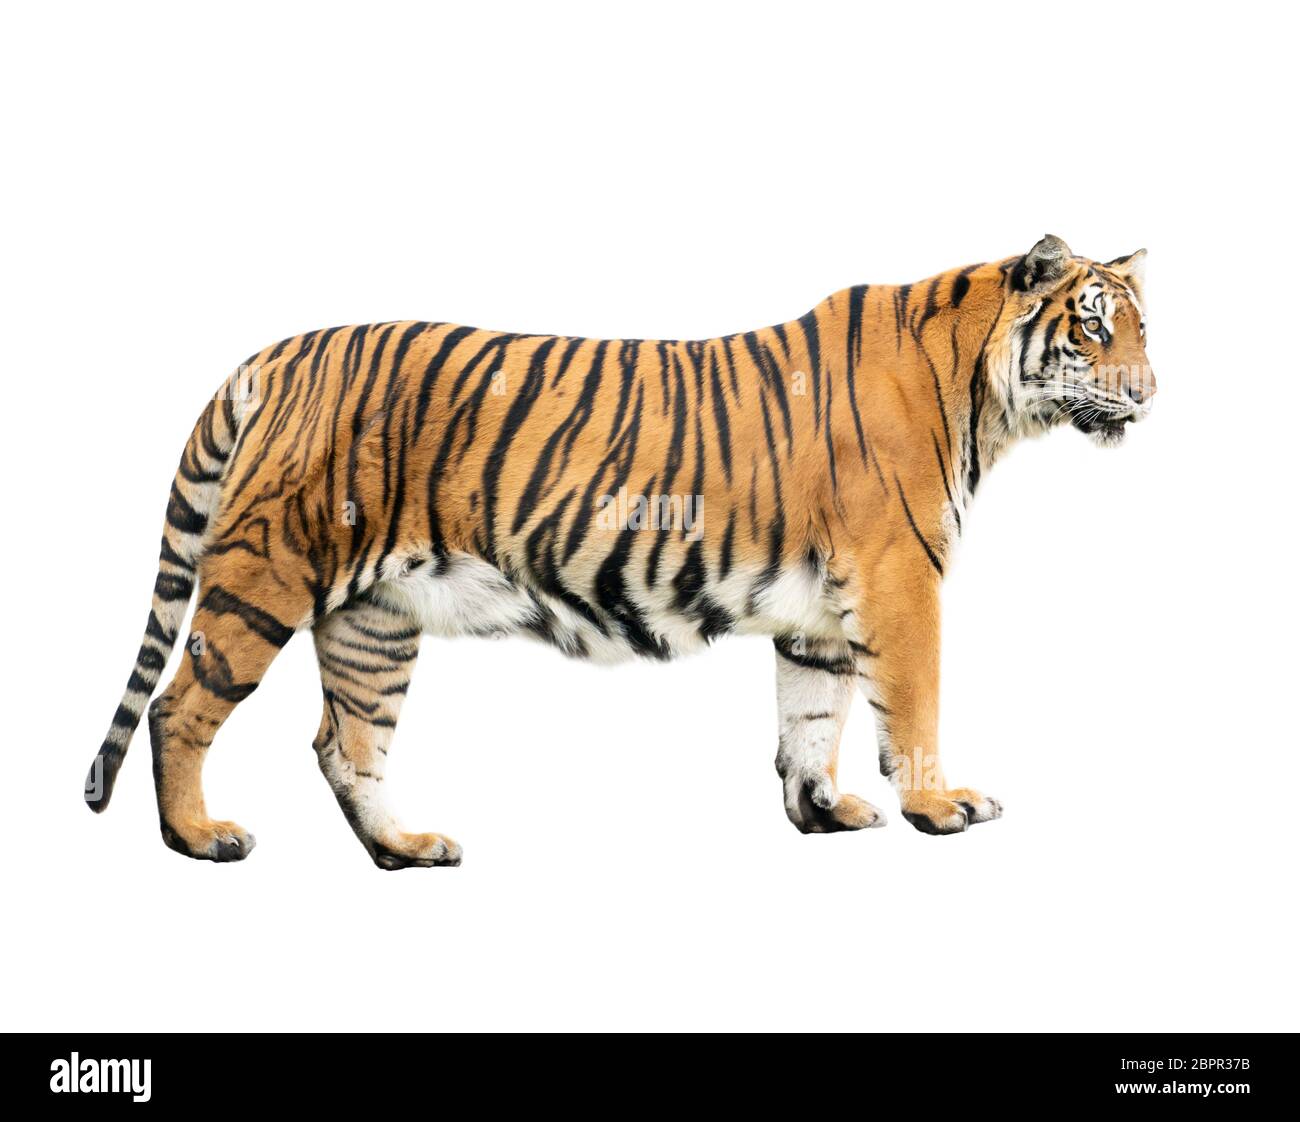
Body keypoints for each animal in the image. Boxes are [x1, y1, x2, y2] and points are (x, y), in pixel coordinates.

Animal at [84, 234, 1154, 867]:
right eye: (1094, 331)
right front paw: (941, 808)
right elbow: (913, 702)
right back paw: (200, 837)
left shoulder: (819, 609)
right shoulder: (900, 578)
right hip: (267, 574)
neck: (986, 396)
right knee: (180, 707)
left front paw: (823, 813)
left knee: (346, 744)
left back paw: (407, 848)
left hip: (373, 619)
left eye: (1145, 330)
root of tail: (271, 356)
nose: (1149, 393)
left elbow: (813, 714)